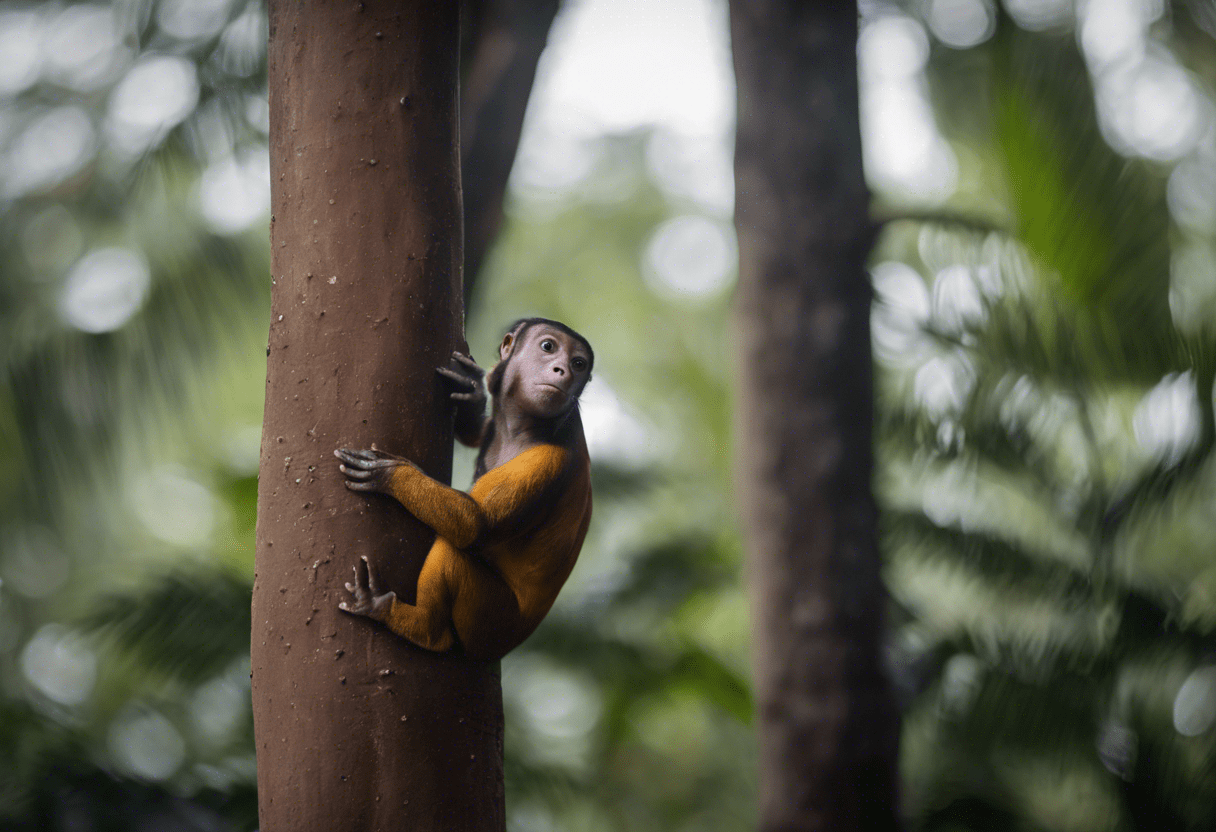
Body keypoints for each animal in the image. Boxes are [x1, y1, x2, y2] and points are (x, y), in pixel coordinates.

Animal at [335, 318, 595, 661]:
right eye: (549, 347)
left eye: (578, 364)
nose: (562, 370)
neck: (525, 429)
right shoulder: (498, 429)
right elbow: (477, 434)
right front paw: (473, 393)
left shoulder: (550, 460)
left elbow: (475, 526)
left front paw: (392, 475)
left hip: (491, 624)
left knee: (451, 551)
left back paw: (418, 625)